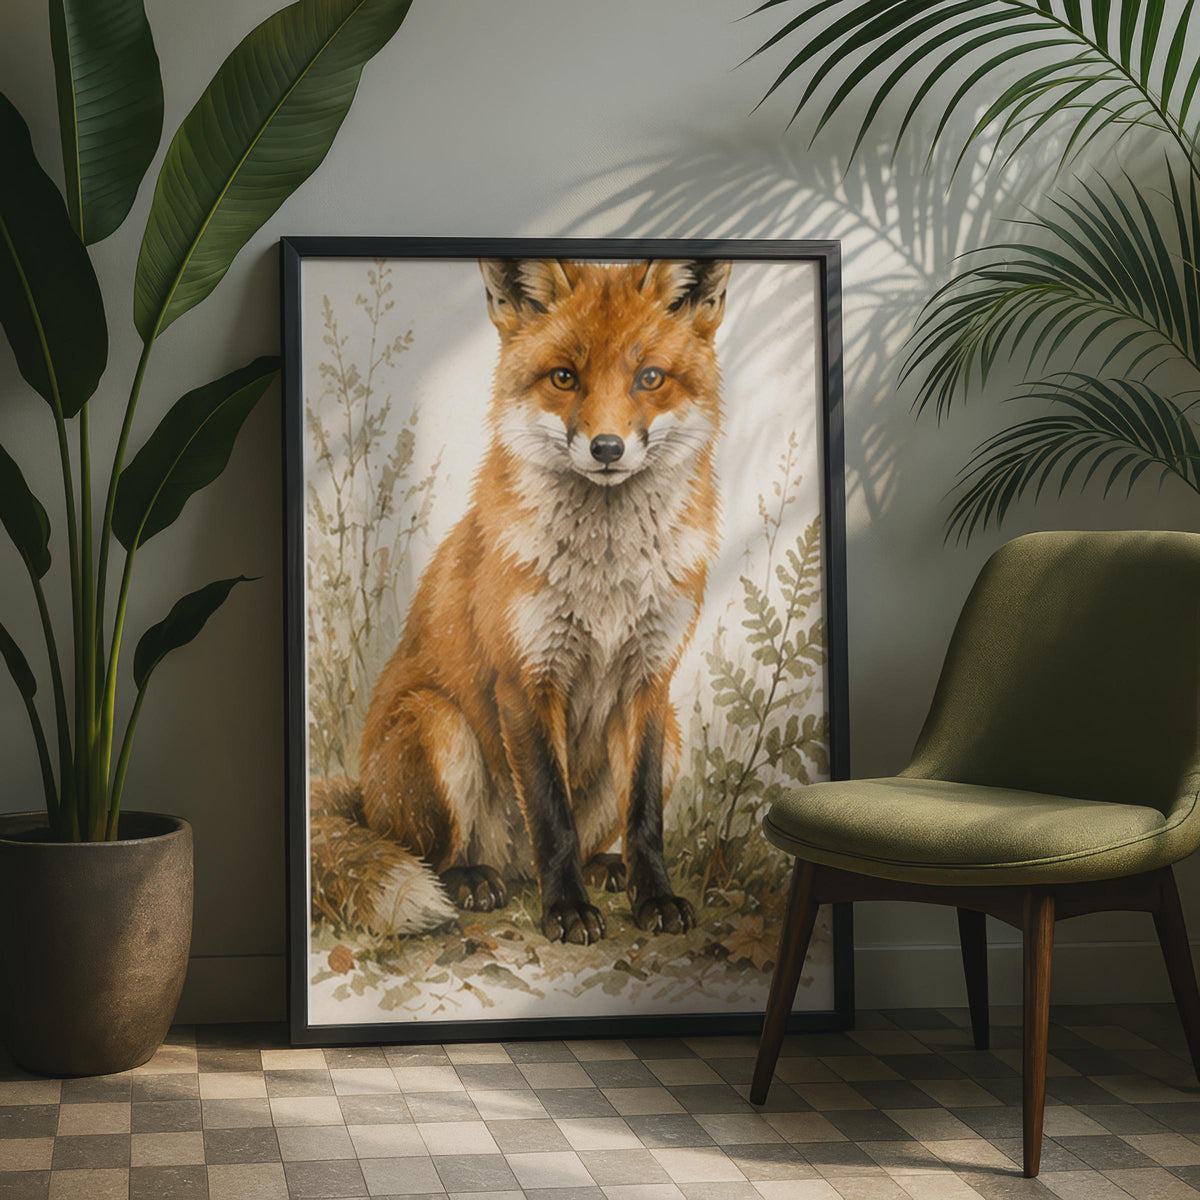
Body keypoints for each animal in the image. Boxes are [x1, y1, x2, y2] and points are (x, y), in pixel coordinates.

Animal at [314, 256, 731, 946]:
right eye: (565, 377)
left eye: (649, 377)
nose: (608, 448)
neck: (606, 579)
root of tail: (366, 803)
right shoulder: (526, 677)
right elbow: (550, 815)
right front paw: (567, 912)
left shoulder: (650, 679)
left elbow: (644, 817)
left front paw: (655, 898)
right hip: (438, 723)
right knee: (436, 854)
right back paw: (474, 881)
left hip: (671, 733)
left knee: (579, 843)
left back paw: (604, 868)